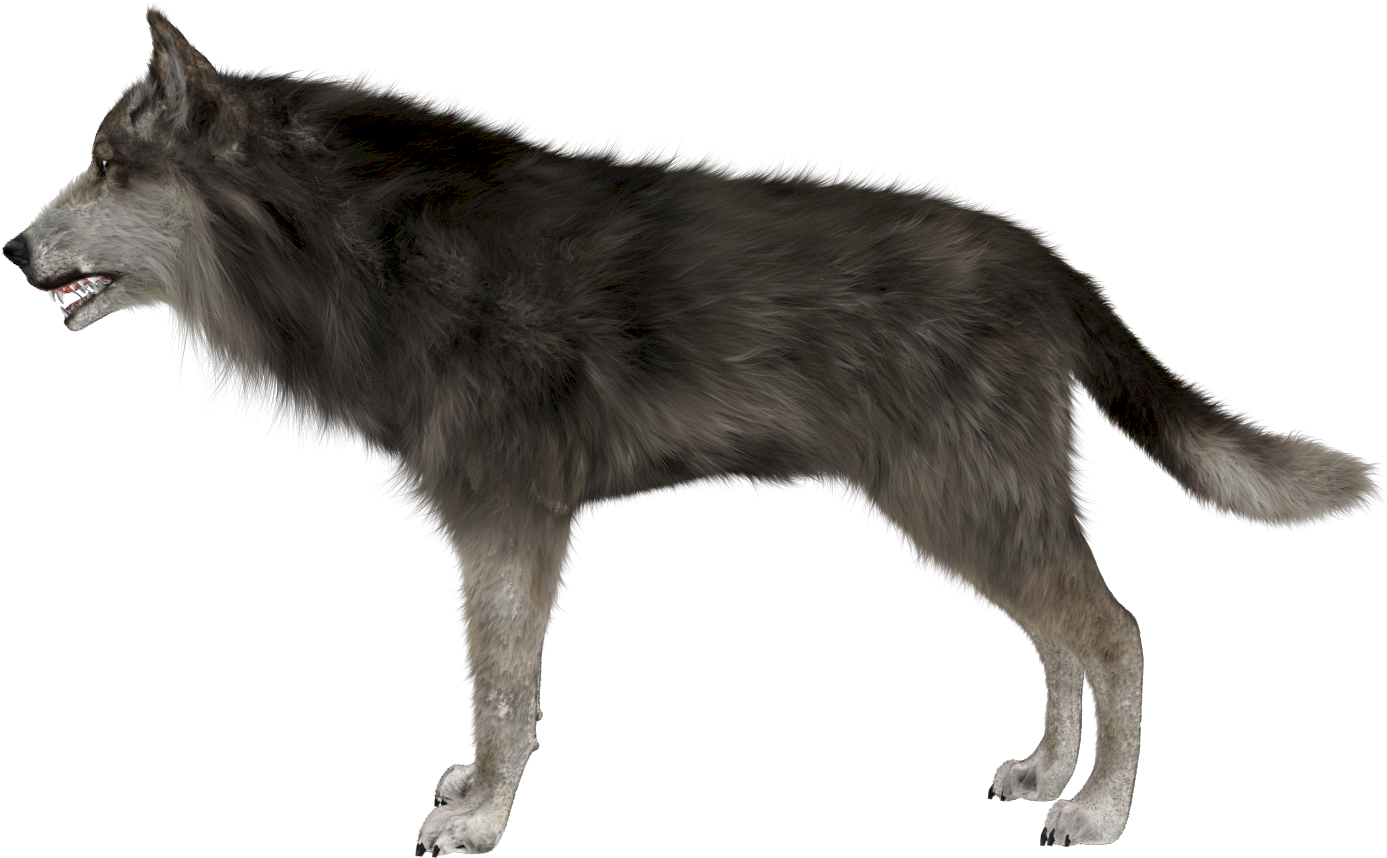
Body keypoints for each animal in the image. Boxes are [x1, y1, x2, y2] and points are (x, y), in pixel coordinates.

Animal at [5, 7, 1377, 853]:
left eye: (108, 166)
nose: (10, 249)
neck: (367, 246)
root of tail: (1050, 264)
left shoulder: (512, 524)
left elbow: (506, 690)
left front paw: (485, 817)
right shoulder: (504, 531)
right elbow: (496, 690)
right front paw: (477, 793)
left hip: (968, 505)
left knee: (1115, 632)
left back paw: (1098, 812)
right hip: (967, 514)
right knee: (1061, 639)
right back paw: (1048, 772)